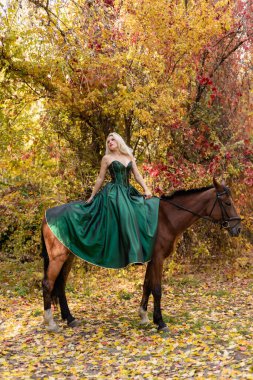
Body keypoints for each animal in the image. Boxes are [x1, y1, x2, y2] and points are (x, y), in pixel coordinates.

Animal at [41, 178, 241, 330]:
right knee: (48, 284)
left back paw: (69, 318)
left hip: (69, 257)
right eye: (227, 203)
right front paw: (160, 322)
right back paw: (50, 322)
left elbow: (147, 286)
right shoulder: (158, 259)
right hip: (58, 258)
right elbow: (157, 289)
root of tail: (47, 215)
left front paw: (144, 316)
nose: (237, 228)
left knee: (60, 285)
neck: (166, 218)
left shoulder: (152, 259)